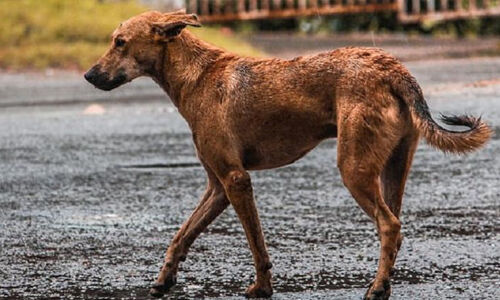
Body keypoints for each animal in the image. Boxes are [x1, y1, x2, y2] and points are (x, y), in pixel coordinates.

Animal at [84, 9, 490, 300]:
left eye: (120, 42)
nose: (88, 76)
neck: (195, 75)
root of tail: (393, 67)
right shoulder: (217, 187)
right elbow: (181, 236)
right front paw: (164, 279)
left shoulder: (236, 181)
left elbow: (256, 245)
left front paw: (262, 288)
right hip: (392, 168)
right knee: (395, 227)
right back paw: (384, 283)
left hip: (354, 168)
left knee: (389, 226)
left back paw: (375, 289)